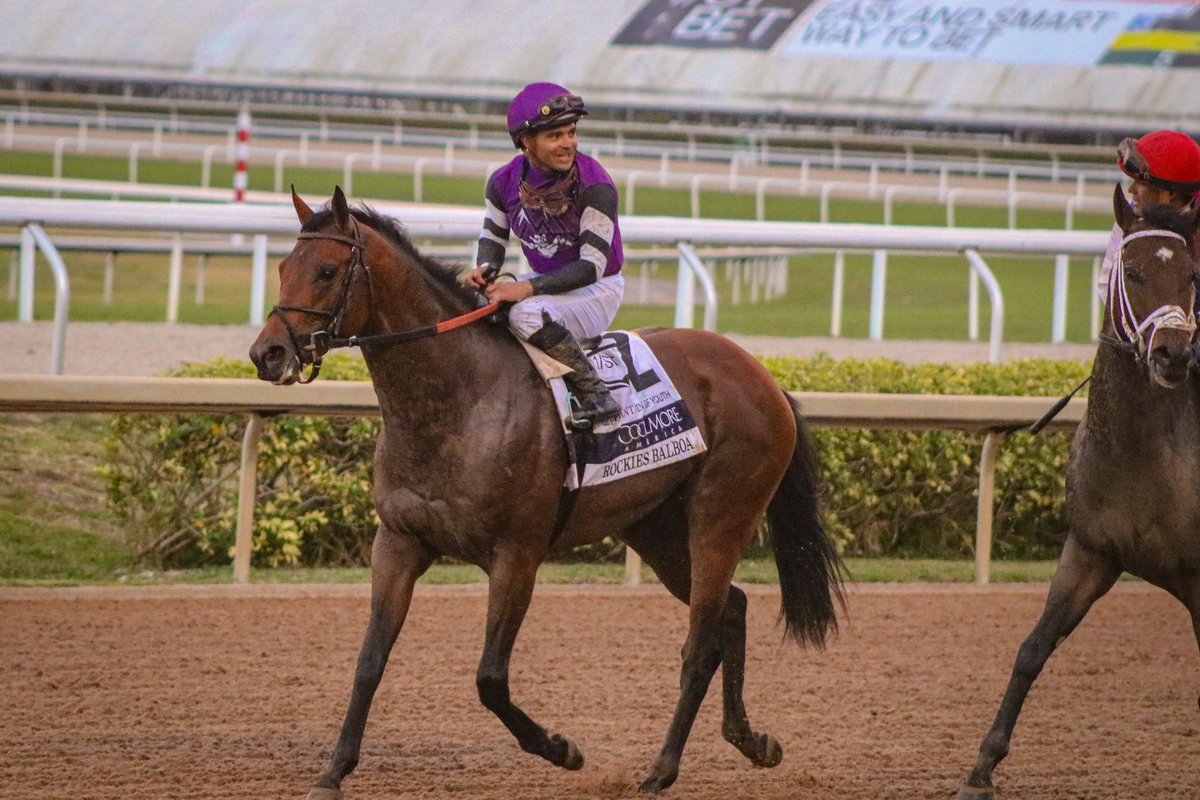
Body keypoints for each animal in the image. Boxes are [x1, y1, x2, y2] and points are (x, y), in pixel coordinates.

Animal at [249, 187, 845, 798]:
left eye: (325, 271)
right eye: (283, 267)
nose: (267, 353)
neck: (460, 401)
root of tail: (763, 376)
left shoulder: (516, 555)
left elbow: (490, 678)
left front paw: (562, 749)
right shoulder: (398, 542)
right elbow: (370, 660)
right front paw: (333, 771)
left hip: (720, 518)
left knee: (701, 642)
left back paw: (660, 770)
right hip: (655, 529)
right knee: (733, 609)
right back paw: (751, 741)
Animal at [956, 185, 1200, 800]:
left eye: (1191, 274)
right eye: (1132, 271)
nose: (1173, 354)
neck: (1146, 454)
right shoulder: (1090, 551)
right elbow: (1032, 649)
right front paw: (981, 768)